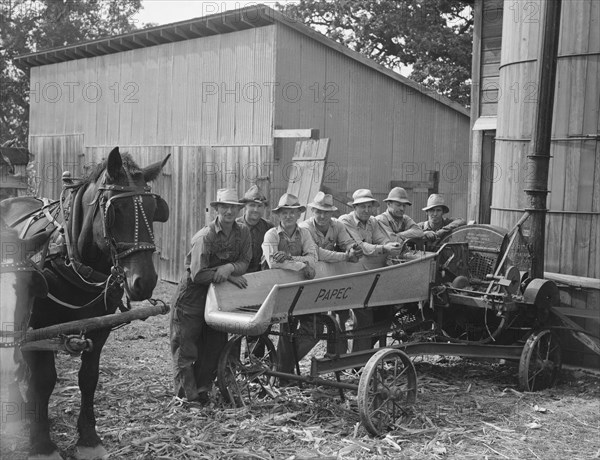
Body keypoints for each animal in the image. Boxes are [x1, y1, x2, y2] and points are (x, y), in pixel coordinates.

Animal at [0, 147, 169, 460]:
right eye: (115, 212)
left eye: (155, 210)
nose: (145, 281)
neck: (72, 257)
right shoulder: (39, 325)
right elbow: (44, 380)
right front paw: (42, 443)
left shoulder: (99, 327)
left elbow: (88, 378)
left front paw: (88, 438)